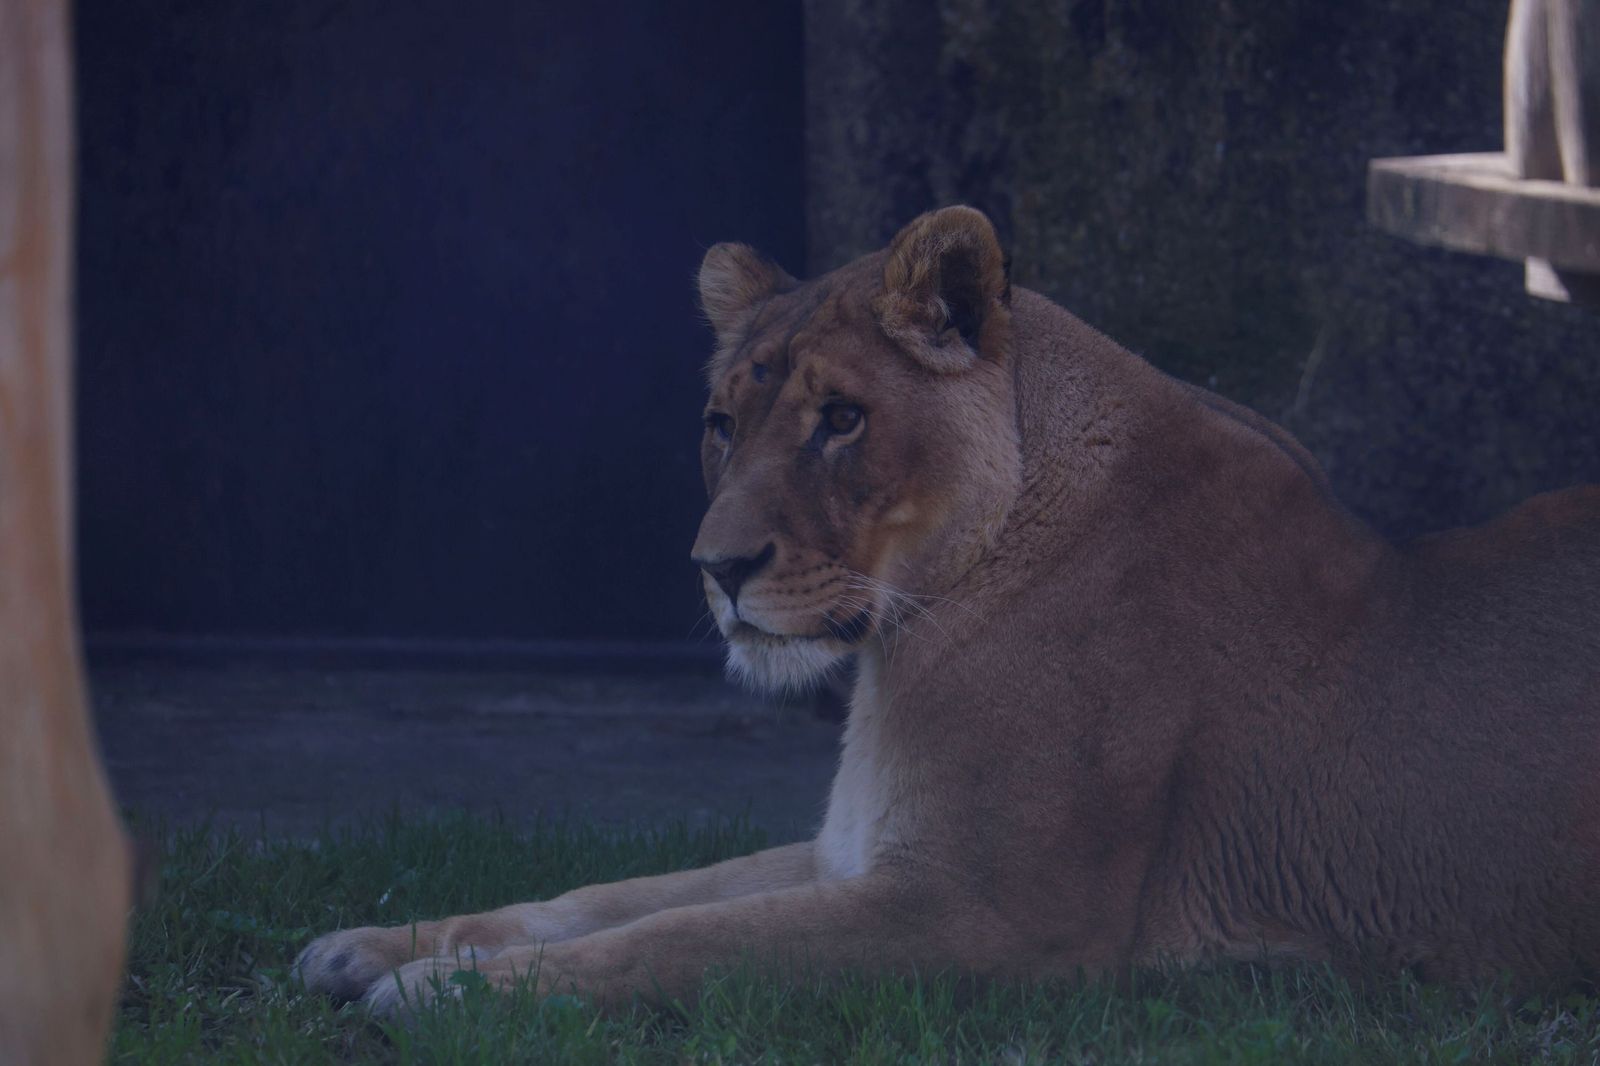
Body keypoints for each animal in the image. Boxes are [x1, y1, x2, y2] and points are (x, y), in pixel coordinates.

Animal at [296, 205, 1600, 1016]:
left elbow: (682, 941)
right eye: (721, 422)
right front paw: (373, 944)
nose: (717, 567)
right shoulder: (854, 849)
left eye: (840, 419)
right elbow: (609, 898)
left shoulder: (989, 915)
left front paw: (441, 993)